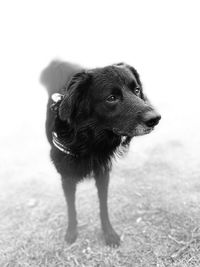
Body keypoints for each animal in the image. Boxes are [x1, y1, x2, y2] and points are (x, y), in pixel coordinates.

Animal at [40, 60, 161, 247]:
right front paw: (72, 231)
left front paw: (109, 233)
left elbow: (103, 206)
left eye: (136, 90)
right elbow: (71, 207)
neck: (89, 141)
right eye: (111, 98)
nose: (155, 119)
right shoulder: (67, 176)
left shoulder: (103, 171)